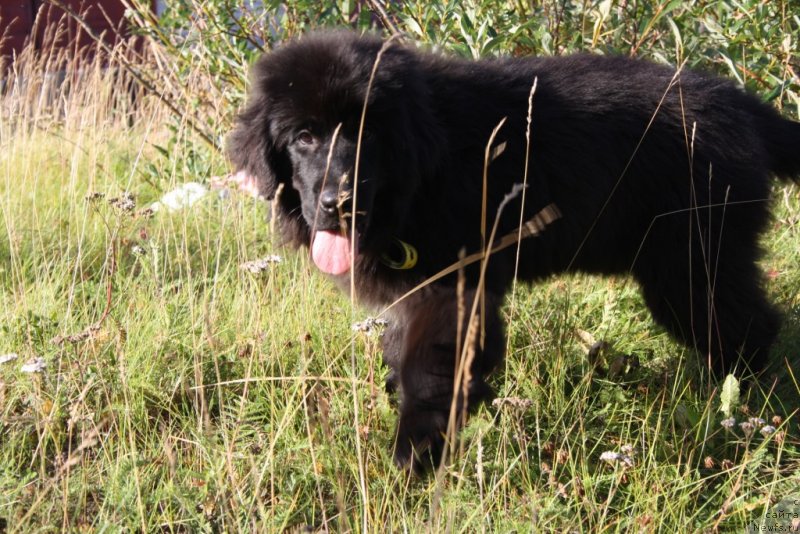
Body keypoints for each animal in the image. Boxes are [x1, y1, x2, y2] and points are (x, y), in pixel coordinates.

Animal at [227, 31, 800, 472]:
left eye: (370, 136)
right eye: (304, 137)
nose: (337, 204)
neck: (424, 167)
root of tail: (742, 104)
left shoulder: (452, 288)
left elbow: (428, 371)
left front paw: (413, 457)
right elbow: (401, 348)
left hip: (690, 261)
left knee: (748, 328)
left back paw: (739, 406)